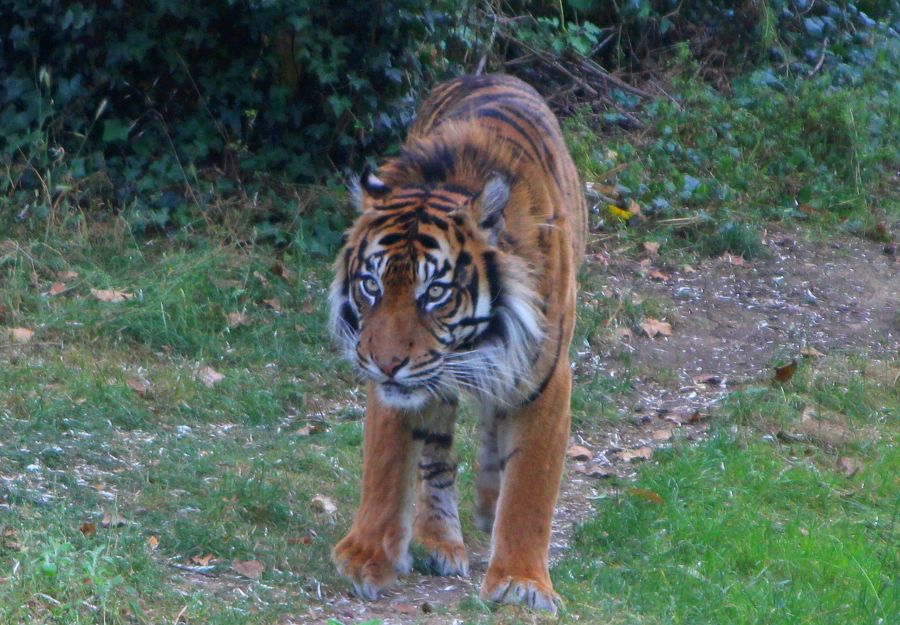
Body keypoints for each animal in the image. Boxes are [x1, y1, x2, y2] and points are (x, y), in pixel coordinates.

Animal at [326, 74, 588, 616]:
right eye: (371, 286)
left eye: (435, 293)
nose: (385, 363)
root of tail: (489, 73)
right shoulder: (401, 385)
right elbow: (385, 464)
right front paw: (365, 556)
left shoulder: (546, 379)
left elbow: (531, 485)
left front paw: (521, 582)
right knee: (436, 455)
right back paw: (437, 539)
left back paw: (488, 508)